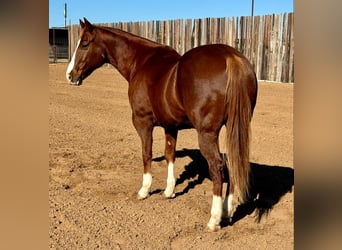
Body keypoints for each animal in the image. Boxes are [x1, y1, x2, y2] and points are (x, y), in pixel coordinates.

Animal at [66, 18, 256, 232]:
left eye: (84, 44)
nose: (70, 75)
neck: (141, 61)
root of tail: (230, 57)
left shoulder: (143, 122)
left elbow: (146, 154)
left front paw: (144, 190)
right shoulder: (170, 126)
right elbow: (169, 155)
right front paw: (169, 190)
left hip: (207, 133)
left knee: (217, 166)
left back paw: (214, 219)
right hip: (234, 128)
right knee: (233, 163)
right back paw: (227, 211)